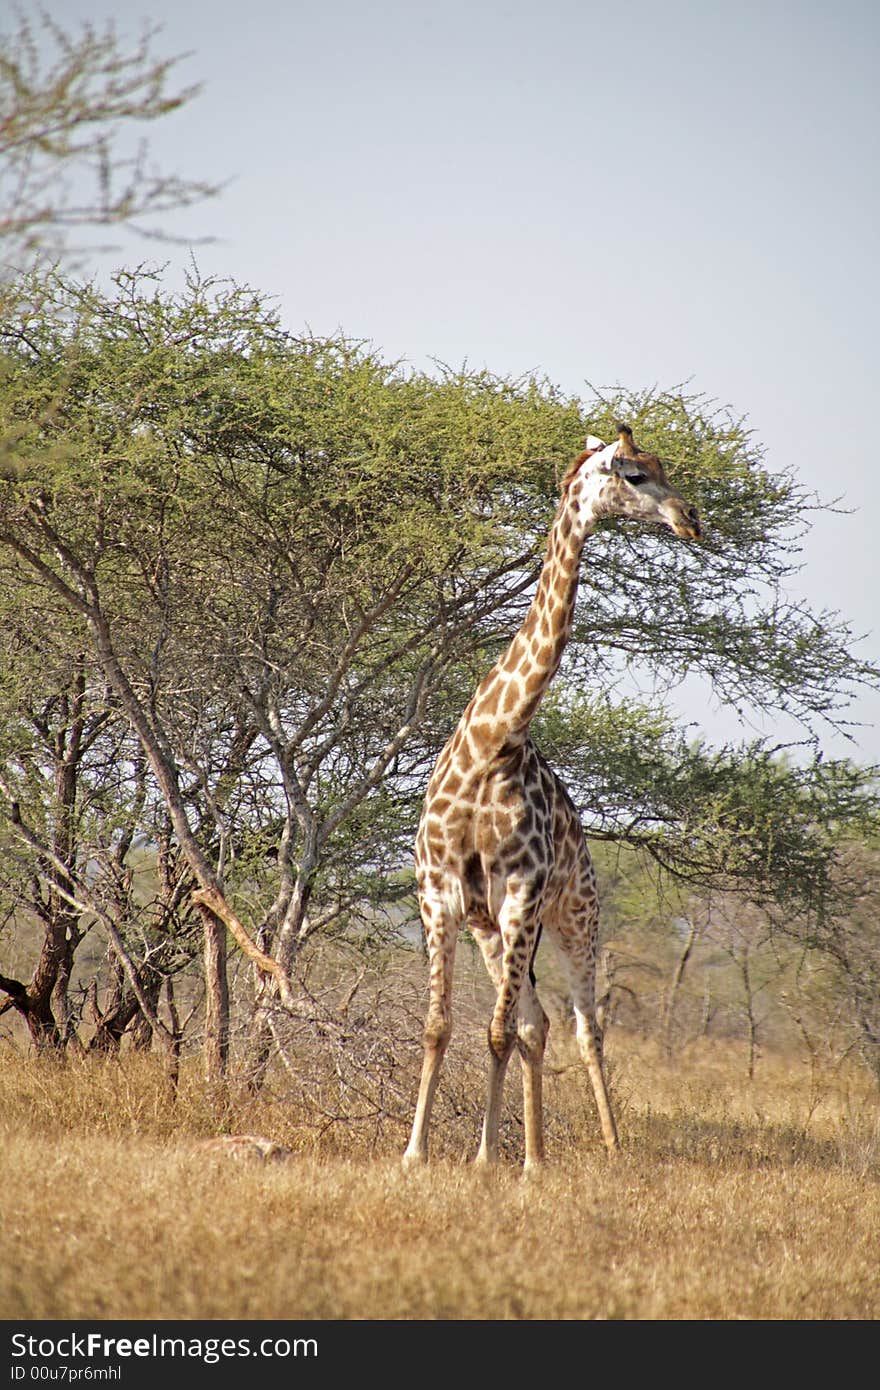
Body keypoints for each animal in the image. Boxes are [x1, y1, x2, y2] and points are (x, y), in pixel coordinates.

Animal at [403, 419, 700, 1162]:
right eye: (636, 474)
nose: (691, 518)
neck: (492, 743)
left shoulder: (520, 892)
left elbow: (497, 1033)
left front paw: (486, 1158)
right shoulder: (440, 893)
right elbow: (440, 1027)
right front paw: (417, 1153)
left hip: (573, 917)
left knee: (581, 1027)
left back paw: (601, 1149)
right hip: (494, 926)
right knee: (537, 1024)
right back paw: (534, 1157)